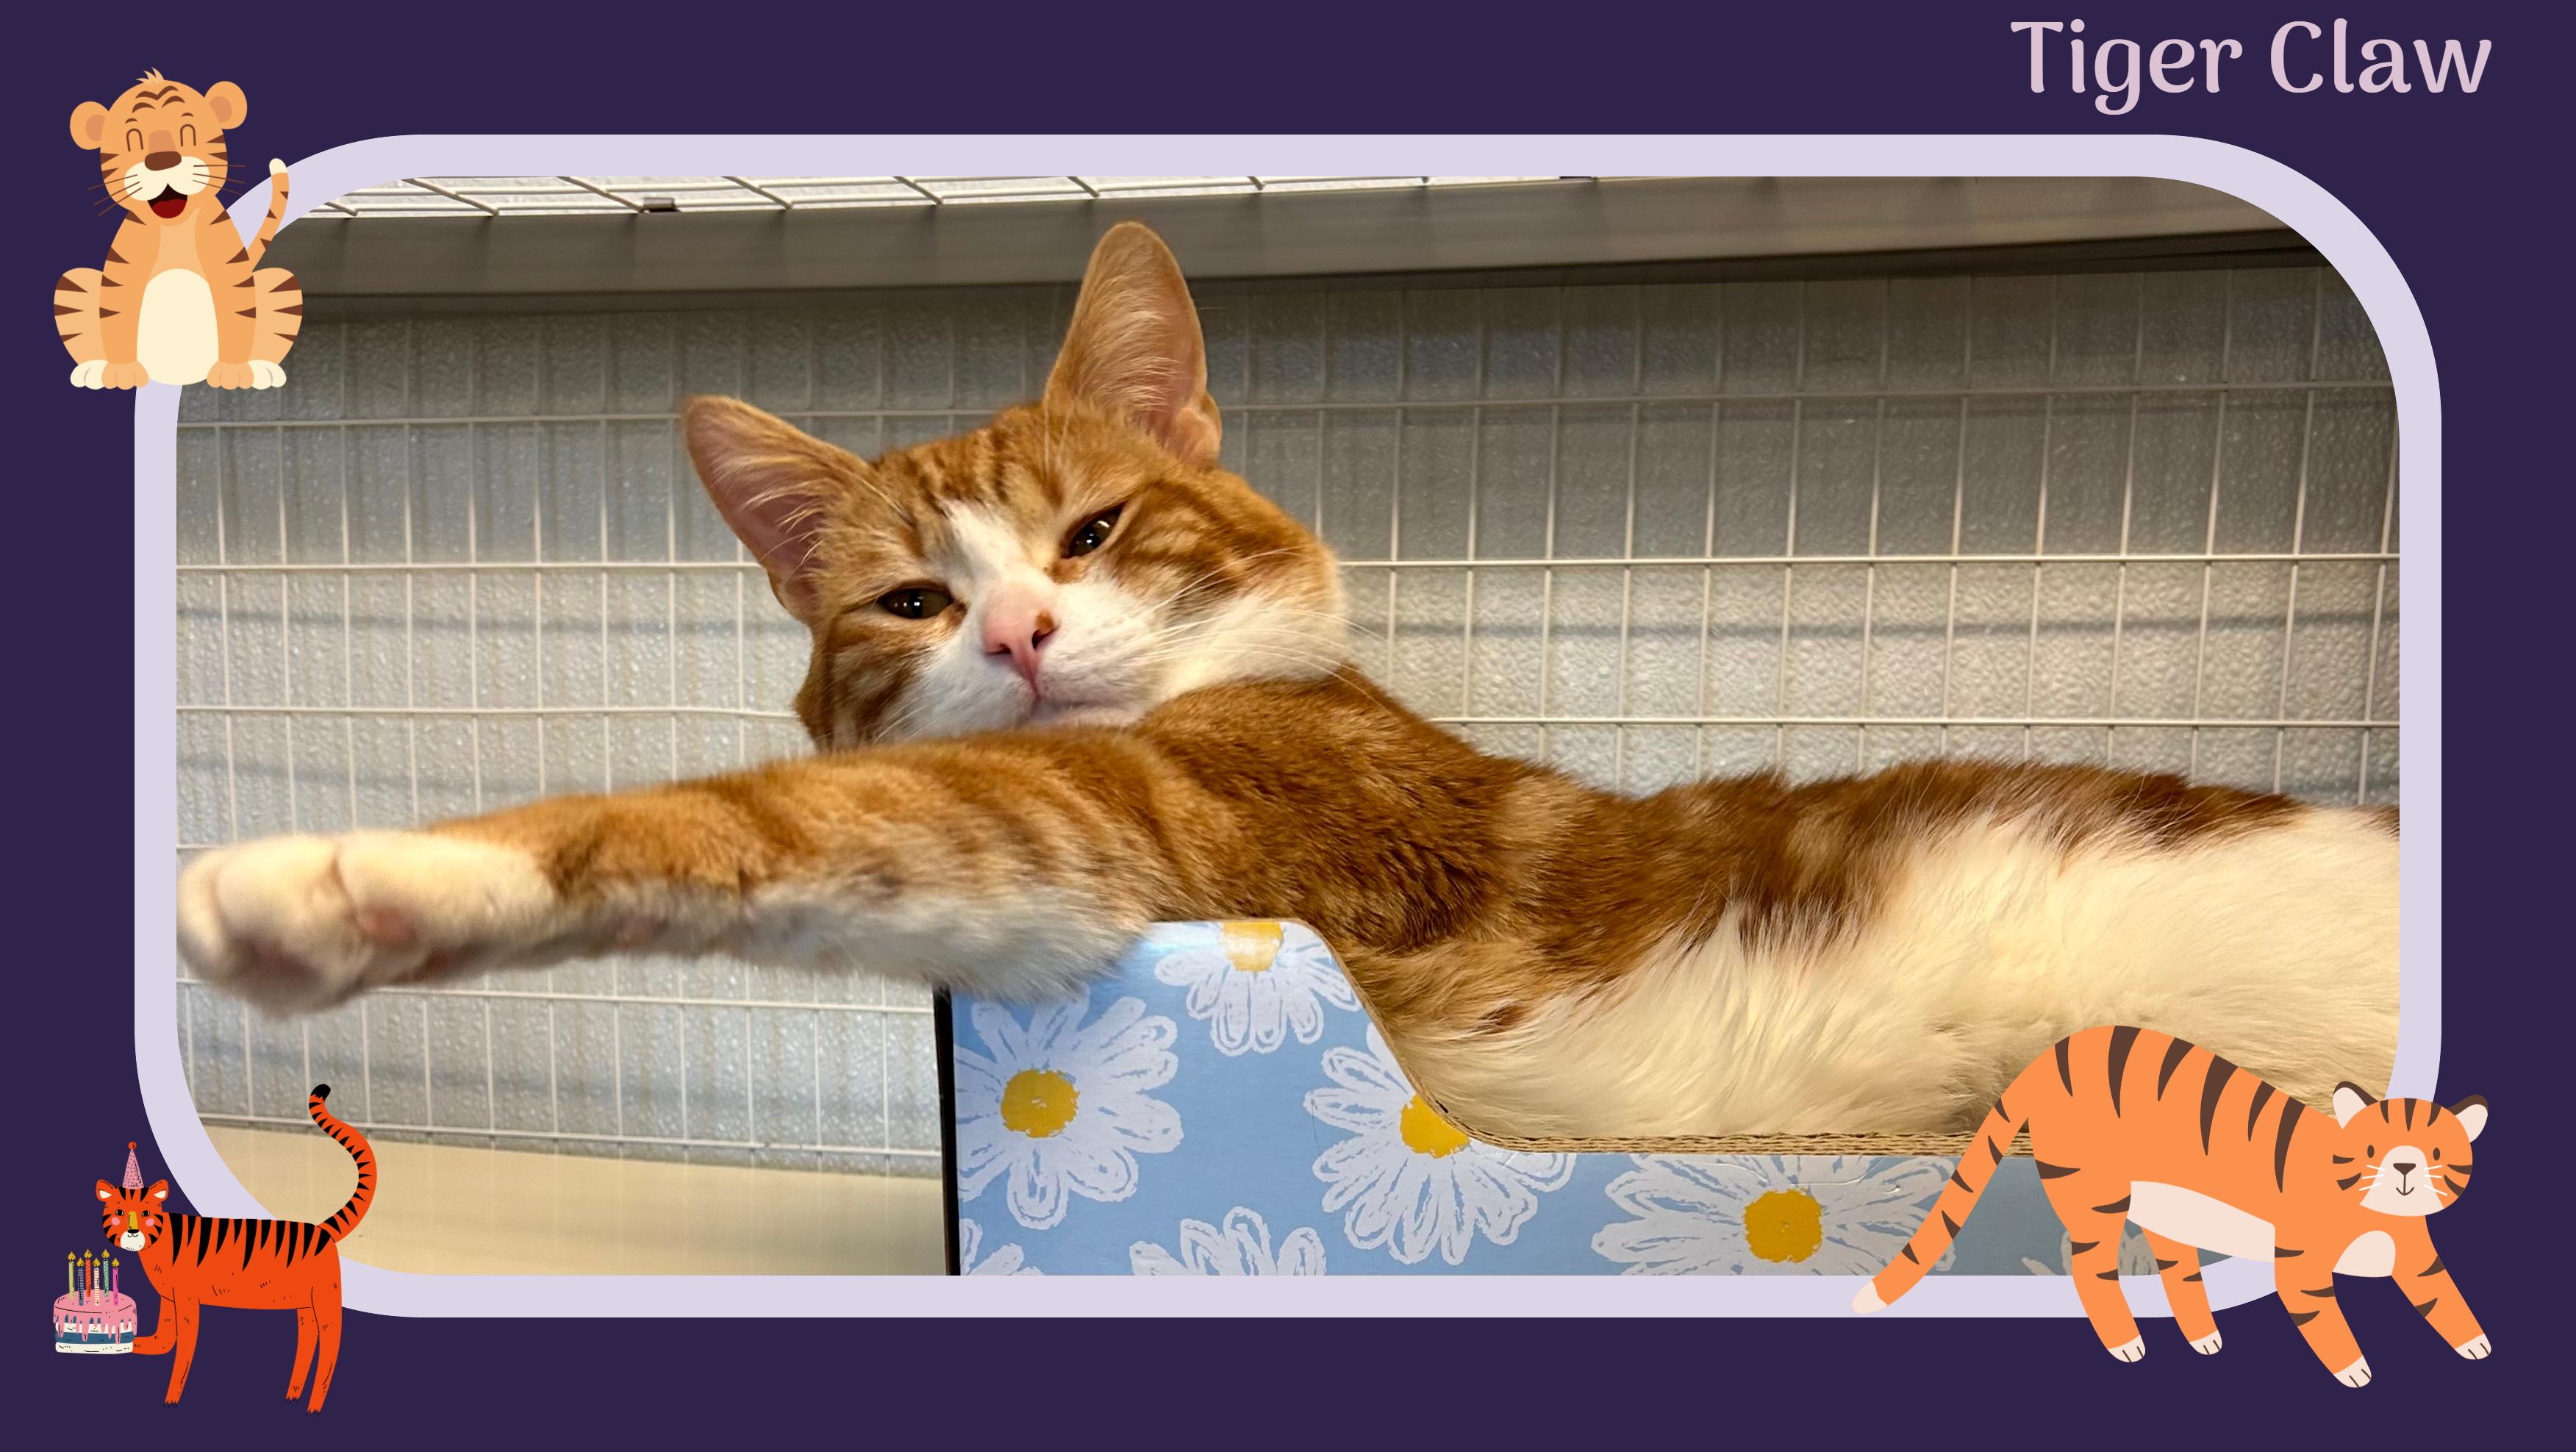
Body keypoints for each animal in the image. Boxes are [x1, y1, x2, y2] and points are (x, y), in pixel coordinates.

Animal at [57, 71, 301, 390]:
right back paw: (93, 368)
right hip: (75, 285)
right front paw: (121, 371)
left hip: (279, 286)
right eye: (132, 139)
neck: (174, 229)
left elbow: (237, 313)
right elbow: (116, 313)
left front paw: (233, 371)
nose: (162, 159)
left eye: (189, 132)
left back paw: (261, 368)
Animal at [96, 1085, 373, 1411]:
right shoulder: (169, 1300)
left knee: (330, 1350)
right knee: (308, 1344)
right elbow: (161, 1341)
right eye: (118, 1213)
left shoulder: (187, 1302)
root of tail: (321, 1230)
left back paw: (314, 1405)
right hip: (304, 1306)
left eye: (147, 1214)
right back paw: (293, 1396)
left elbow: (182, 1355)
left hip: (325, 1299)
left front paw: (172, 1398)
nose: (133, 1231)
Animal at [1853, 1025, 2490, 1387]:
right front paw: (2354, 1369)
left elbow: (2448, 1302)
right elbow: (2327, 1325)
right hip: (2101, 1196)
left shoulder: (2419, 1261)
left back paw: (2203, 1335)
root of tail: (2054, 1054)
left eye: (2437, 1152)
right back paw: (2126, 1342)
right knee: (2088, 1269)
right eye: (2369, 1150)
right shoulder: (2301, 1270)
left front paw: (2475, 1344)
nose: (2404, 1167)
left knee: (2177, 1271)